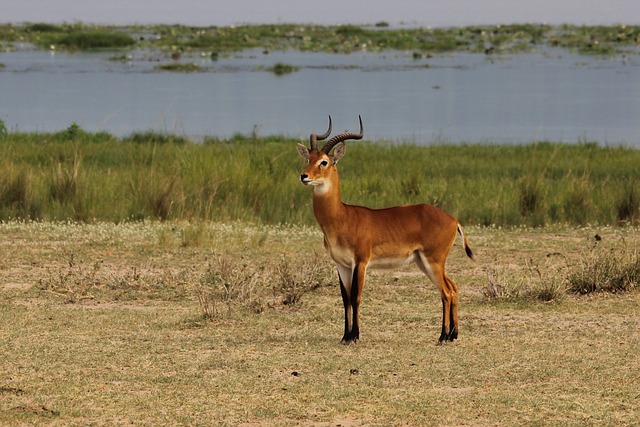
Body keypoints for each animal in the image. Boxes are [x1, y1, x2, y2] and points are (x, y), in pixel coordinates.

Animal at [298, 116, 472, 344]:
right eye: (308, 159)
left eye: (324, 162)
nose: (304, 176)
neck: (342, 217)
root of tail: (453, 219)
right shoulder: (341, 265)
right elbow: (345, 299)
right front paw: (345, 336)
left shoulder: (360, 262)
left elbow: (356, 297)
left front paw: (355, 336)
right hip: (424, 262)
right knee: (453, 288)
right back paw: (453, 335)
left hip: (433, 261)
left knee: (446, 292)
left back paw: (443, 336)